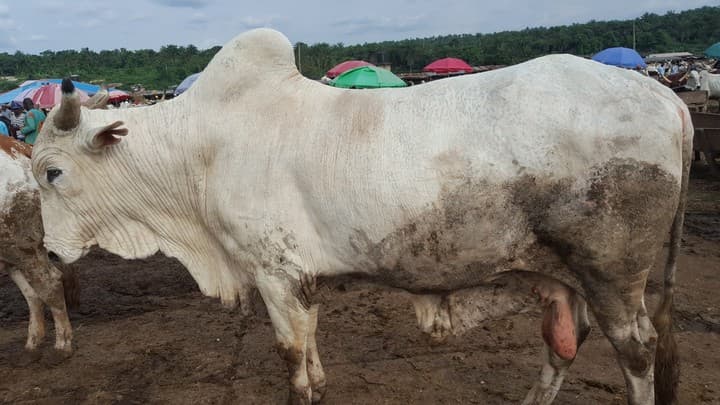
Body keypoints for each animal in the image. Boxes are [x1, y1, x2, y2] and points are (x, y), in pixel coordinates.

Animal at [1, 135, 78, 357]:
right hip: (13, 252)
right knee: (33, 294)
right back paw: (34, 340)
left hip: (23, 247)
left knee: (50, 284)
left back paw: (62, 344)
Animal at [31, 29, 691, 405]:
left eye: (52, 172)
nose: (52, 252)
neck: (200, 150)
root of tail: (666, 96)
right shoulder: (301, 276)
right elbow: (312, 339)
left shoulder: (273, 272)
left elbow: (290, 353)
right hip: (566, 275)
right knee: (565, 342)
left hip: (611, 274)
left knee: (636, 351)